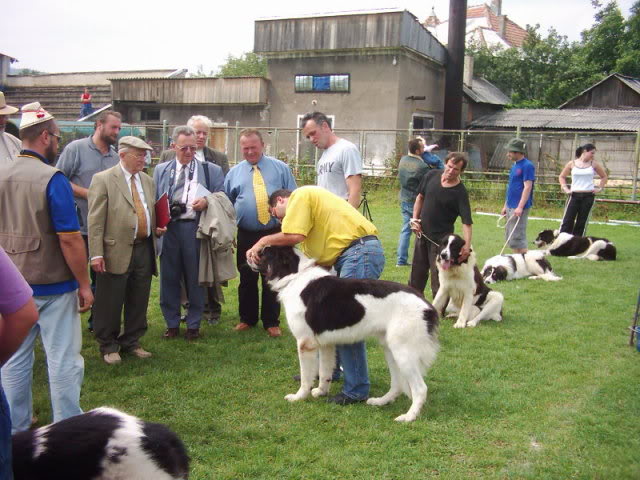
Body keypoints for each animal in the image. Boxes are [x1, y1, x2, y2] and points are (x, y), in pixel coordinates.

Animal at [250, 246, 440, 422]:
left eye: (263, 253)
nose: (249, 254)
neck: (294, 275)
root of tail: (427, 306)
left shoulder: (305, 343)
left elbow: (306, 377)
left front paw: (299, 397)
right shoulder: (325, 344)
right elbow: (324, 371)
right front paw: (321, 391)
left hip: (403, 352)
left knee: (420, 388)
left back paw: (409, 417)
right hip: (391, 350)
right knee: (398, 383)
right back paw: (380, 401)